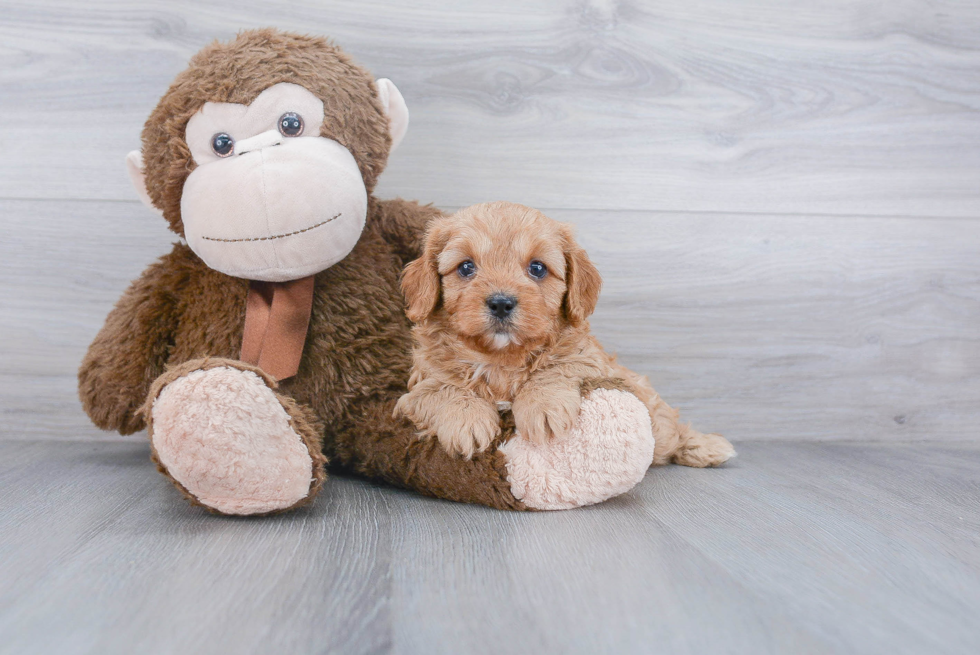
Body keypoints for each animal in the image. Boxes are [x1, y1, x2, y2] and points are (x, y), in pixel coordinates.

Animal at [392, 200, 736, 466]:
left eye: (537, 268)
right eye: (466, 267)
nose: (501, 303)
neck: (502, 358)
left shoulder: (589, 360)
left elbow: (556, 368)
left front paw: (542, 407)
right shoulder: (416, 388)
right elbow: (442, 389)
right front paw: (466, 420)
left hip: (653, 413)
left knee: (669, 428)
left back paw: (705, 446)